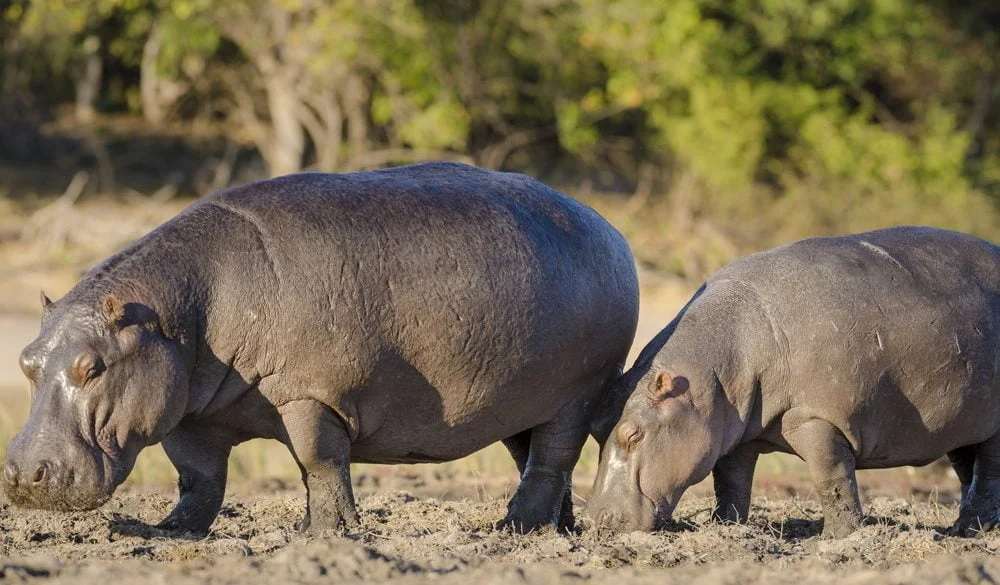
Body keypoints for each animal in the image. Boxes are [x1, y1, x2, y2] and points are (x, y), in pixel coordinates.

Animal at [4, 162, 639, 534]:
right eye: (27, 361)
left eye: (92, 367)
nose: (24, 476)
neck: (178, 309)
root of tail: (608, 227)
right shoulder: (187, 409)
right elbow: (198, 478)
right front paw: (168, 531)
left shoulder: (311, 395)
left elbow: (318, 462)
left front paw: (326, 535)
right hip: (520, 404)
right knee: (535, 461)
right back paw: (556, 531)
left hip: (576, 394)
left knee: (552, 459)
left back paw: (511, 530)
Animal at [586, 226, 1000, 537]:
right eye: (594, 428)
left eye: (633, 434)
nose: (596, 520)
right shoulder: (736, 432)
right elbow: (730, 483)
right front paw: (726, 529)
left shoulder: (816, 419)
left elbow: (832, 480)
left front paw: (839, 538)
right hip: (961, 419)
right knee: (968, 467)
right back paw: (968, 527)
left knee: (989, 469)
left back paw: (971, 529)